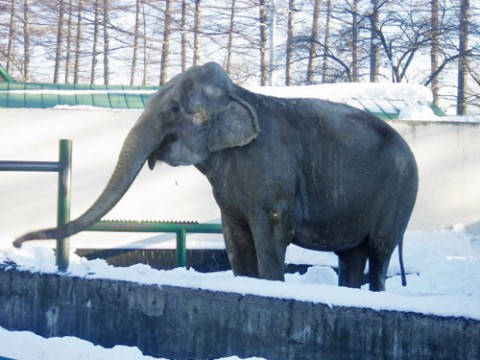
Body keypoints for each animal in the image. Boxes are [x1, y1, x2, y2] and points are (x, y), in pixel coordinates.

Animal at [14, 62, 420, 292]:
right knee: (351, 255)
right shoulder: (232, 191)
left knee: (379, 252)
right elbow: (235, 237)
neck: (238, 94)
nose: (16, 244)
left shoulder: (270, 175)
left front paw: (273, 287)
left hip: (400, 194)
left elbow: (271, 233)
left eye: (174, 110)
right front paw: (249, 285)